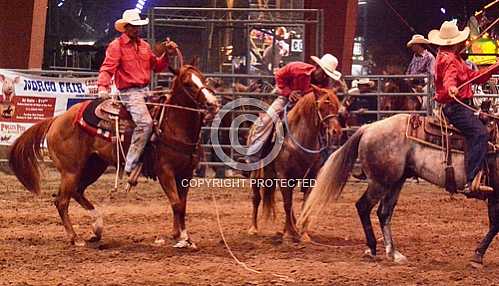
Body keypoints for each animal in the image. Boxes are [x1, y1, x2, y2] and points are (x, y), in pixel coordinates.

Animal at [8, 65, 220, 248]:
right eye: (188, 84)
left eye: (203, 79)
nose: (213, 104)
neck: (173, 125)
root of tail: (57, 119)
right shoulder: (165, 172)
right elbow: (176, 203)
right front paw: (183, 238)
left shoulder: (186, 174)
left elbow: (182, 205)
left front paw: (180, 235)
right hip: (71, 170)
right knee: (61, 201)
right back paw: (75, 238)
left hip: (94, 166)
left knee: (77, 192)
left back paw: (97, 228)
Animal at [248, 86, 342, 240]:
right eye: (322, 106)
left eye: (336, 107)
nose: (336, 131)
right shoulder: (283, 175)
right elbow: (287, 203)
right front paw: (288, 233)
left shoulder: (311, 176)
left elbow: (305, 203)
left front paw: (303, 234)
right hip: (256, 174)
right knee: (256, 198)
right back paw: (253, 228)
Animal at [298, 113, 498, 266]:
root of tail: (367, 128)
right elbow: (495, 225)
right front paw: (477, 256)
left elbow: (494, 224)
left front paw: (478, 255)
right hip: (381, 182)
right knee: (363, 207)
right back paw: (373, 248)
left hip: (396, 181)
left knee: (383, 213)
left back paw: (393, 253)